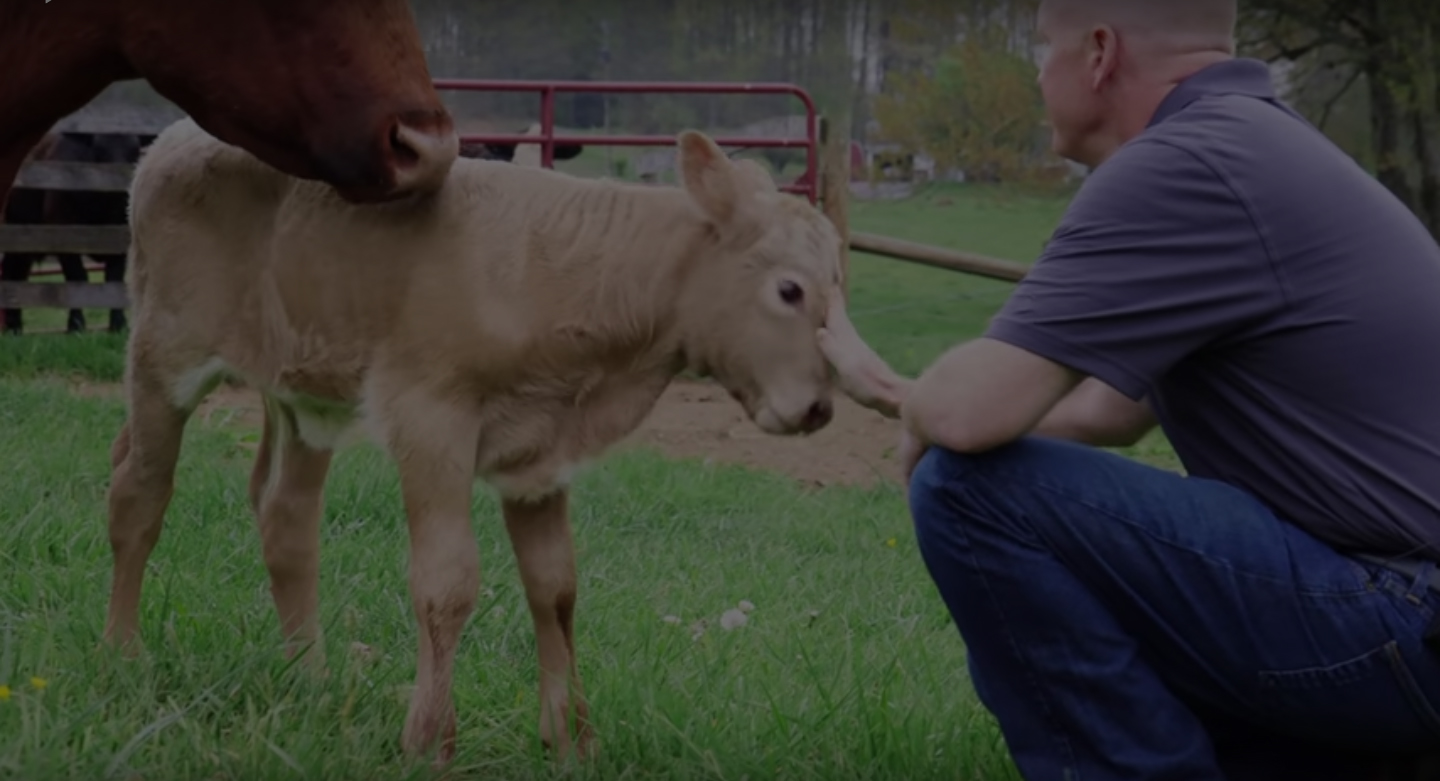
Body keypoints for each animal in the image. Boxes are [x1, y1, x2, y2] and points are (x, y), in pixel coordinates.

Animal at [1, 131, 154, 335]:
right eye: (98, 150)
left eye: (135, 150)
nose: (121, 189)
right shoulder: (64, 237)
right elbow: (77, 277)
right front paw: (75, 324)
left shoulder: (120, 242)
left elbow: (113, 279)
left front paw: (118, 323)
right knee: (12, 275)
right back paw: (13, 327)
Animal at [101, 118, 847, 765]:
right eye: (789, 289)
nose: (817, 408)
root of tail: (173, 136)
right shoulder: (431, 418)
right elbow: (447, 583)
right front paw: (431, 740)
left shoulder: (541, 453)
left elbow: (555, 588)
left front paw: (571, 739)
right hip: (163, 353)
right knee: (138, 494)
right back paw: (126, 654)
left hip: (302, 388)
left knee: (285, 514)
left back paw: (309, 677)